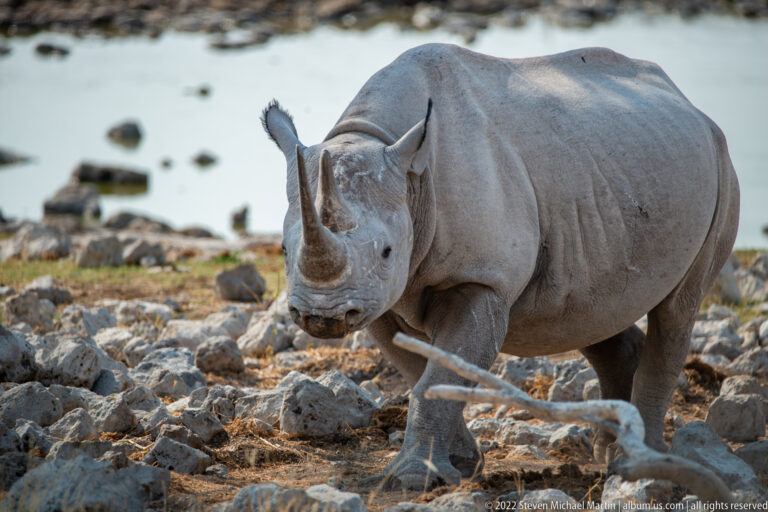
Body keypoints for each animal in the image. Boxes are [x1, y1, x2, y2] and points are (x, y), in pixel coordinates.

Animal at [261, 44, 739, 490]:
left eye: (387, 252)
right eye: (283, 250)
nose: (321, 316)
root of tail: (688, 103)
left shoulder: (477, 280)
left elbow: (437, 376)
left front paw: (414, 479)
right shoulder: (379, 297)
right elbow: (423, 373)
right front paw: (462, 464)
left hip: (718, 164)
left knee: (677, 310)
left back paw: (640, 466)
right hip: (605, 176)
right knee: (593, 311)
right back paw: (614, 453)